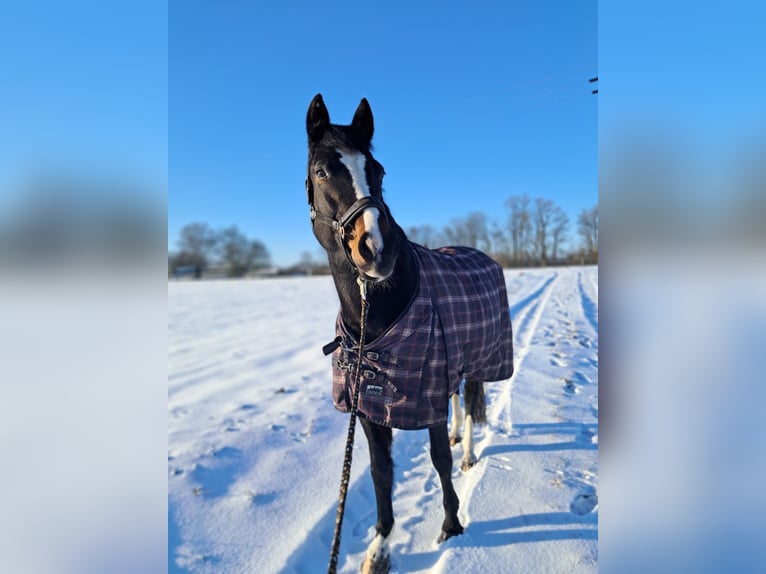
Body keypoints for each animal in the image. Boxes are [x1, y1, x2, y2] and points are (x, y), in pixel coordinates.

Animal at [305, 94, 514, 573]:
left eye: (379, 171)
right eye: (322, 170)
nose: (376, 250)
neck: (375, 317)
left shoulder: (427, 392)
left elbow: (439, 460)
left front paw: (452, 526)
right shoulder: (368, 409)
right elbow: (381, 473)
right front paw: (380, 547)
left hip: (478, 362)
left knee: (469, 405)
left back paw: (468, 452)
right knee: (458, 402)